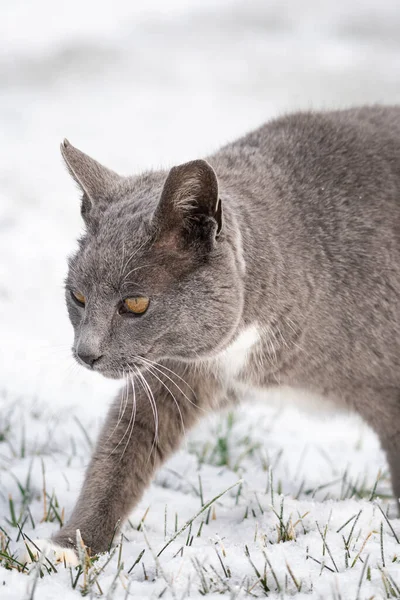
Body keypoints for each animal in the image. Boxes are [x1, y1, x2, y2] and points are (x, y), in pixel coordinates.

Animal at [38, 105, 400, 560]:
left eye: (135, 304)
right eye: (78, 296)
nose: (86, 353)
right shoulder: (183, 370)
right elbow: (122, 447)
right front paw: (73, 546)